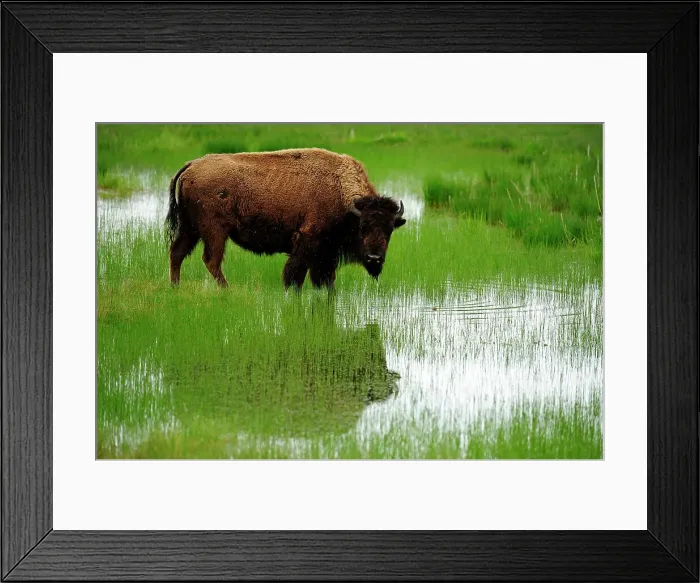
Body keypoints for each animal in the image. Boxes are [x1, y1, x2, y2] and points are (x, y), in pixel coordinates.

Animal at [165, 148, 406, 288]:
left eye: (390, 230)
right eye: (362, 227)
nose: (374, 258)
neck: (340, 190)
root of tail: (191, 165)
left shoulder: (326, 255)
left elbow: (324, 280)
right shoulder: (307, 243)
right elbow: (295, 275)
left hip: (190, 228)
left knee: (177, 252)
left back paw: (175, 288)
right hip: (215, 231)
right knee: (211, 260)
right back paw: (227, 291)